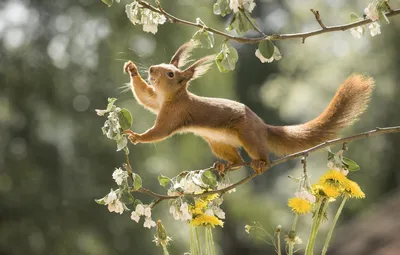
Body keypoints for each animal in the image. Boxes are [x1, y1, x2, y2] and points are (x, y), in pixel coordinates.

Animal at [122, 41, 376, 173]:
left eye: (171, 73)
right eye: (161, 65)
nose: (151, 69)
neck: (171, 97)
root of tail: (262, 126)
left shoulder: (173, 114)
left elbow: (159, 132)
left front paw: (136, 136)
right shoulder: (157, 102)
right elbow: (145, 98)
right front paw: (131, 69)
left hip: (248, 135)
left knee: (258, 154)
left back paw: (261, 163)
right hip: (218, 143)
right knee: (237, 160)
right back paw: (225, 166)